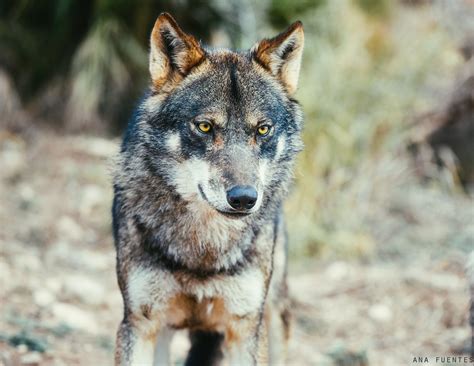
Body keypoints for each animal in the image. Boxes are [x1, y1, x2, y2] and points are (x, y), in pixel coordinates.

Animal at [112, 12, 304, 364]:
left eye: (263, 129)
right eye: (204, 126)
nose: (244, 199)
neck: (203, 249)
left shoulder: (246, 326)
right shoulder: (138, 323)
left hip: (273, 310)